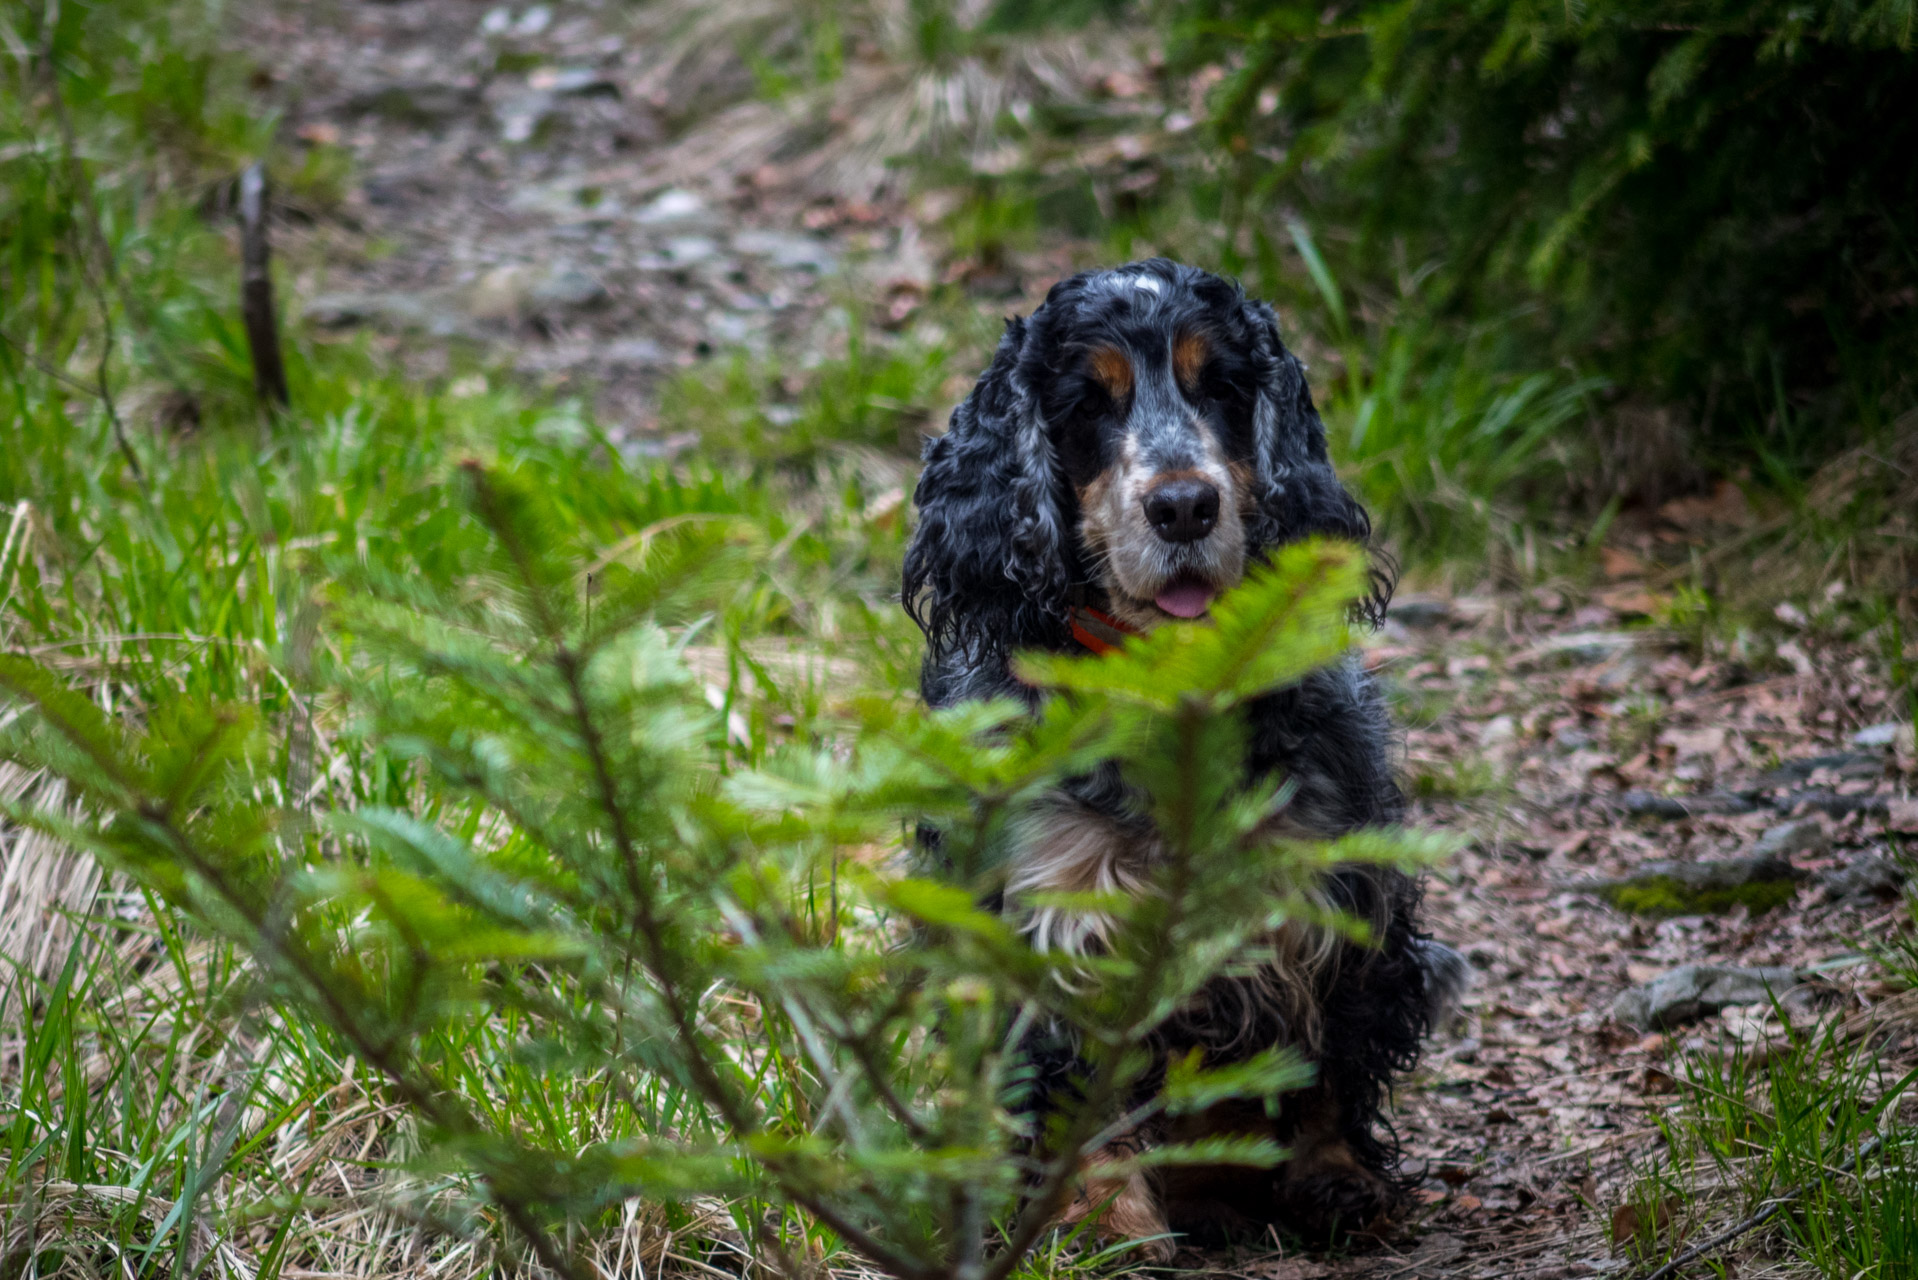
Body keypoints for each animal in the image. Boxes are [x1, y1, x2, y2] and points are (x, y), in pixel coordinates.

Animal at [897, 257, 1465, 1251]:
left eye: (1224, 387)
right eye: (1088, 402)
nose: (1184, 505)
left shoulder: (1333, 890)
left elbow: (1329, 1060)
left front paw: (1339, 1180)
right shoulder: (1058, 920)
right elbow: (1078, 1099)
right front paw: (1106, 1226)